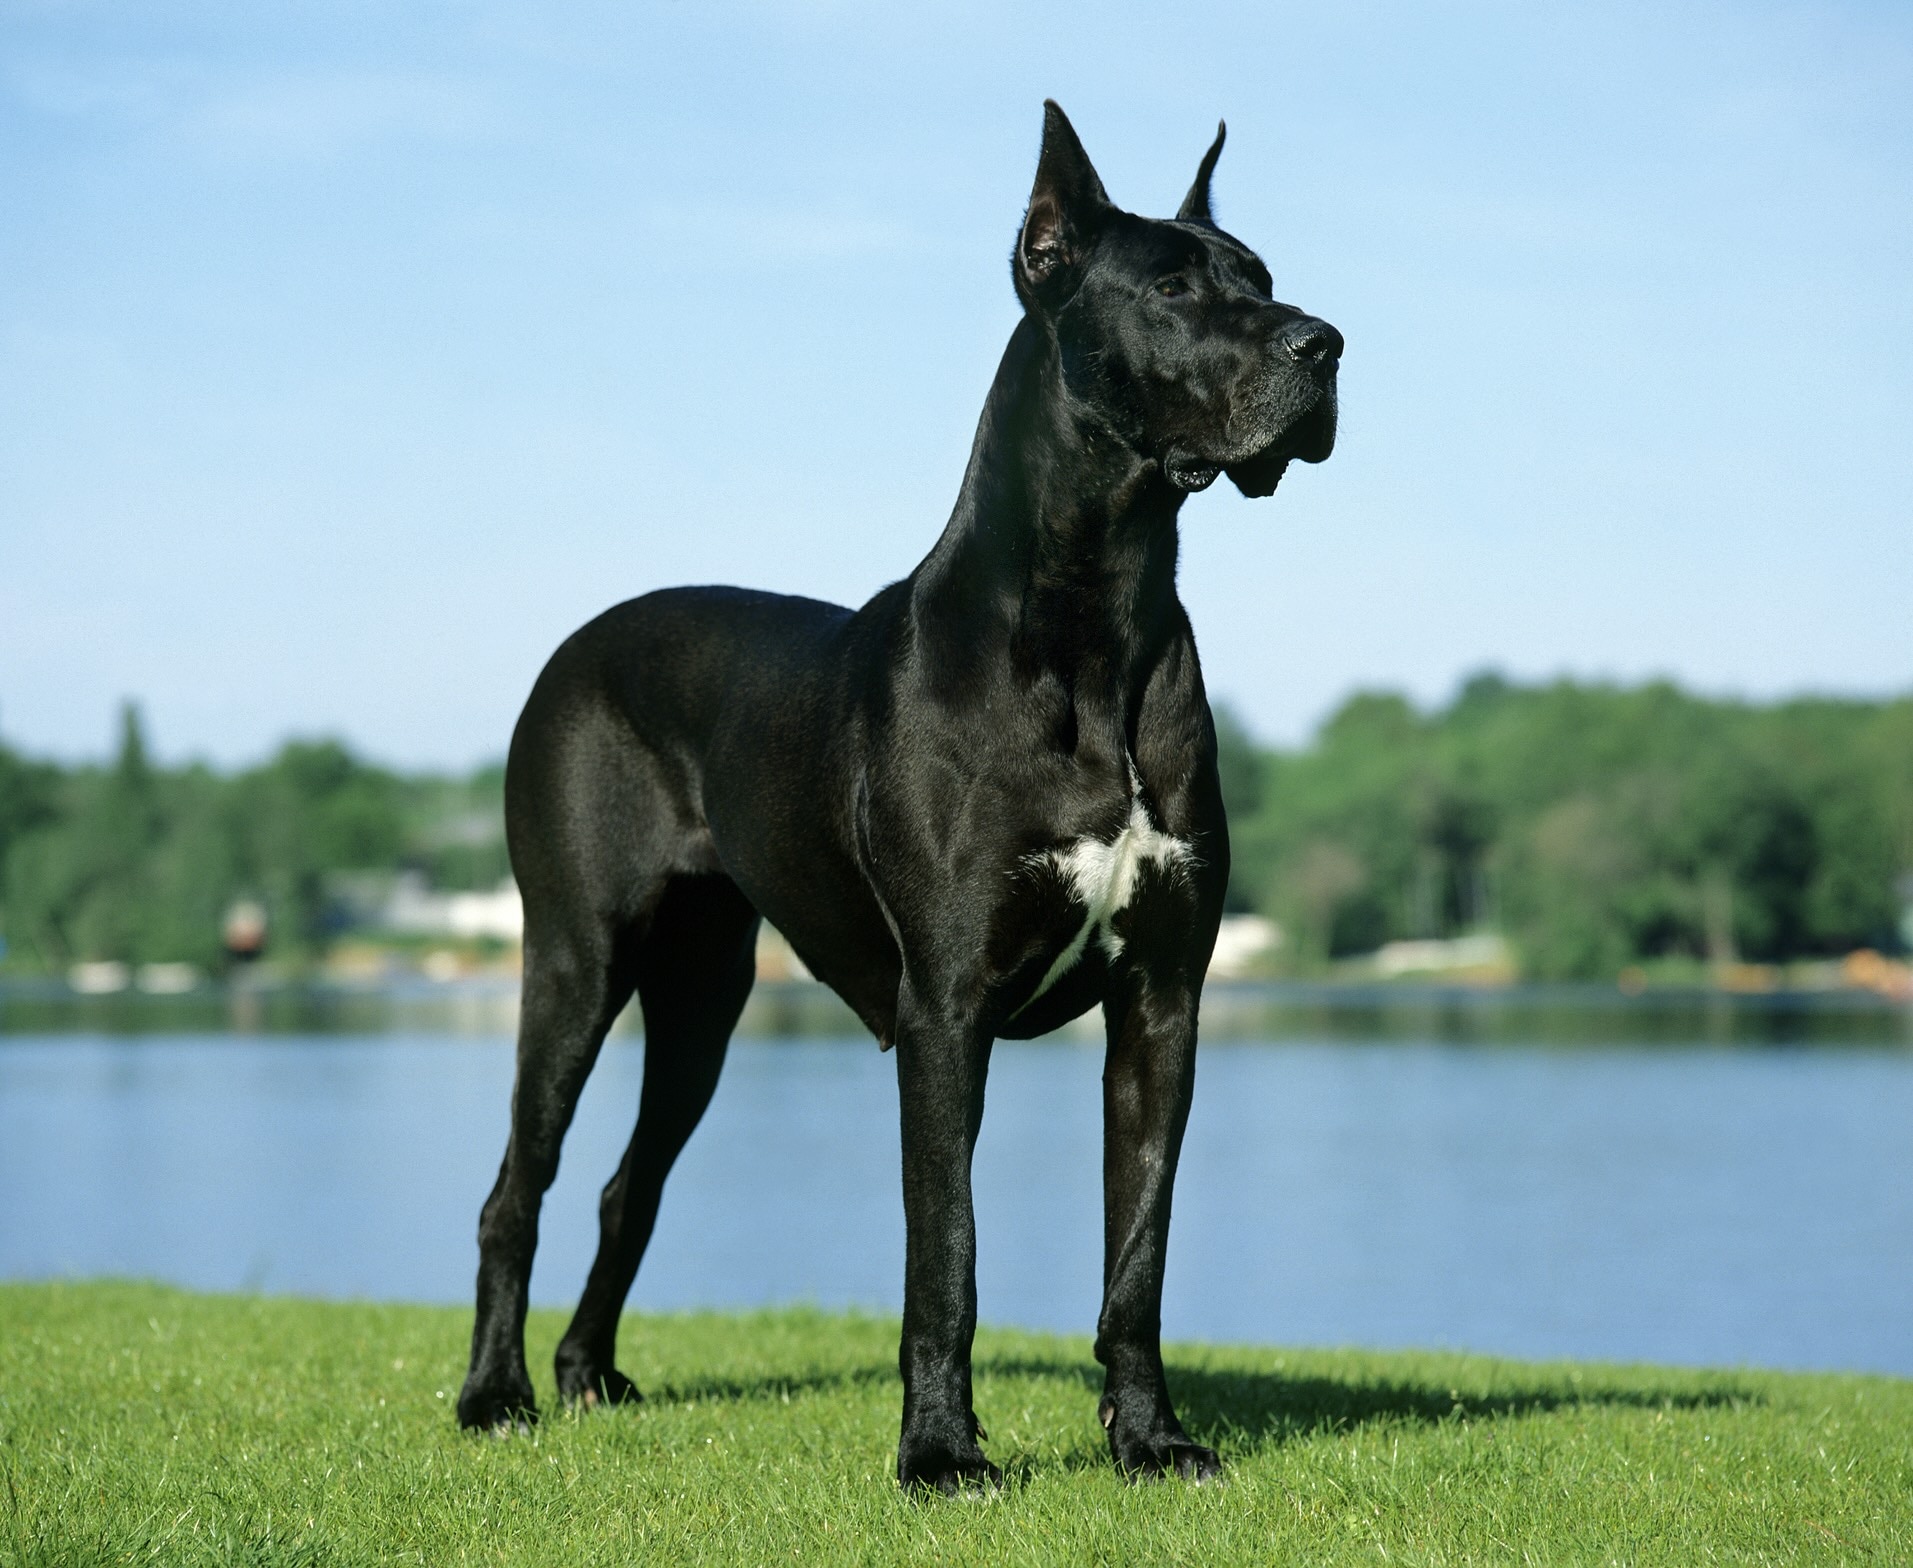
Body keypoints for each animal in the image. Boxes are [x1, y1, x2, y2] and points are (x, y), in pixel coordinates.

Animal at [455, 104, 1339, 1491]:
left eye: (1259, 273)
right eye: (1172, 288)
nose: (1327, 344)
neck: (1097, 613)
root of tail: (580, 640)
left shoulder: (1163, 1002)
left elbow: (1136, 1253)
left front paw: (1149, 1437)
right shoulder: (944, 1007)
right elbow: (947, 1255)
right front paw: (938, 1451)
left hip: (703, 995)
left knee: (624, 1185)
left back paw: (588, 1373)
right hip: (573, 958)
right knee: (518, 1188)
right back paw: (495, 1393)